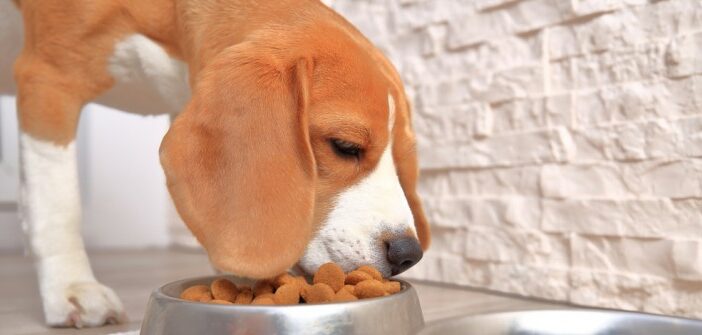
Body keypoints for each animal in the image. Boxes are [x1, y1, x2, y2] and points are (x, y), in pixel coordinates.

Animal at [0, 0, 432, 330]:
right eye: (344, 146)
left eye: (402, 160)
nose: (408, 254)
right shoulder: (48, 80)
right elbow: (57, 204)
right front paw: (71, 287)